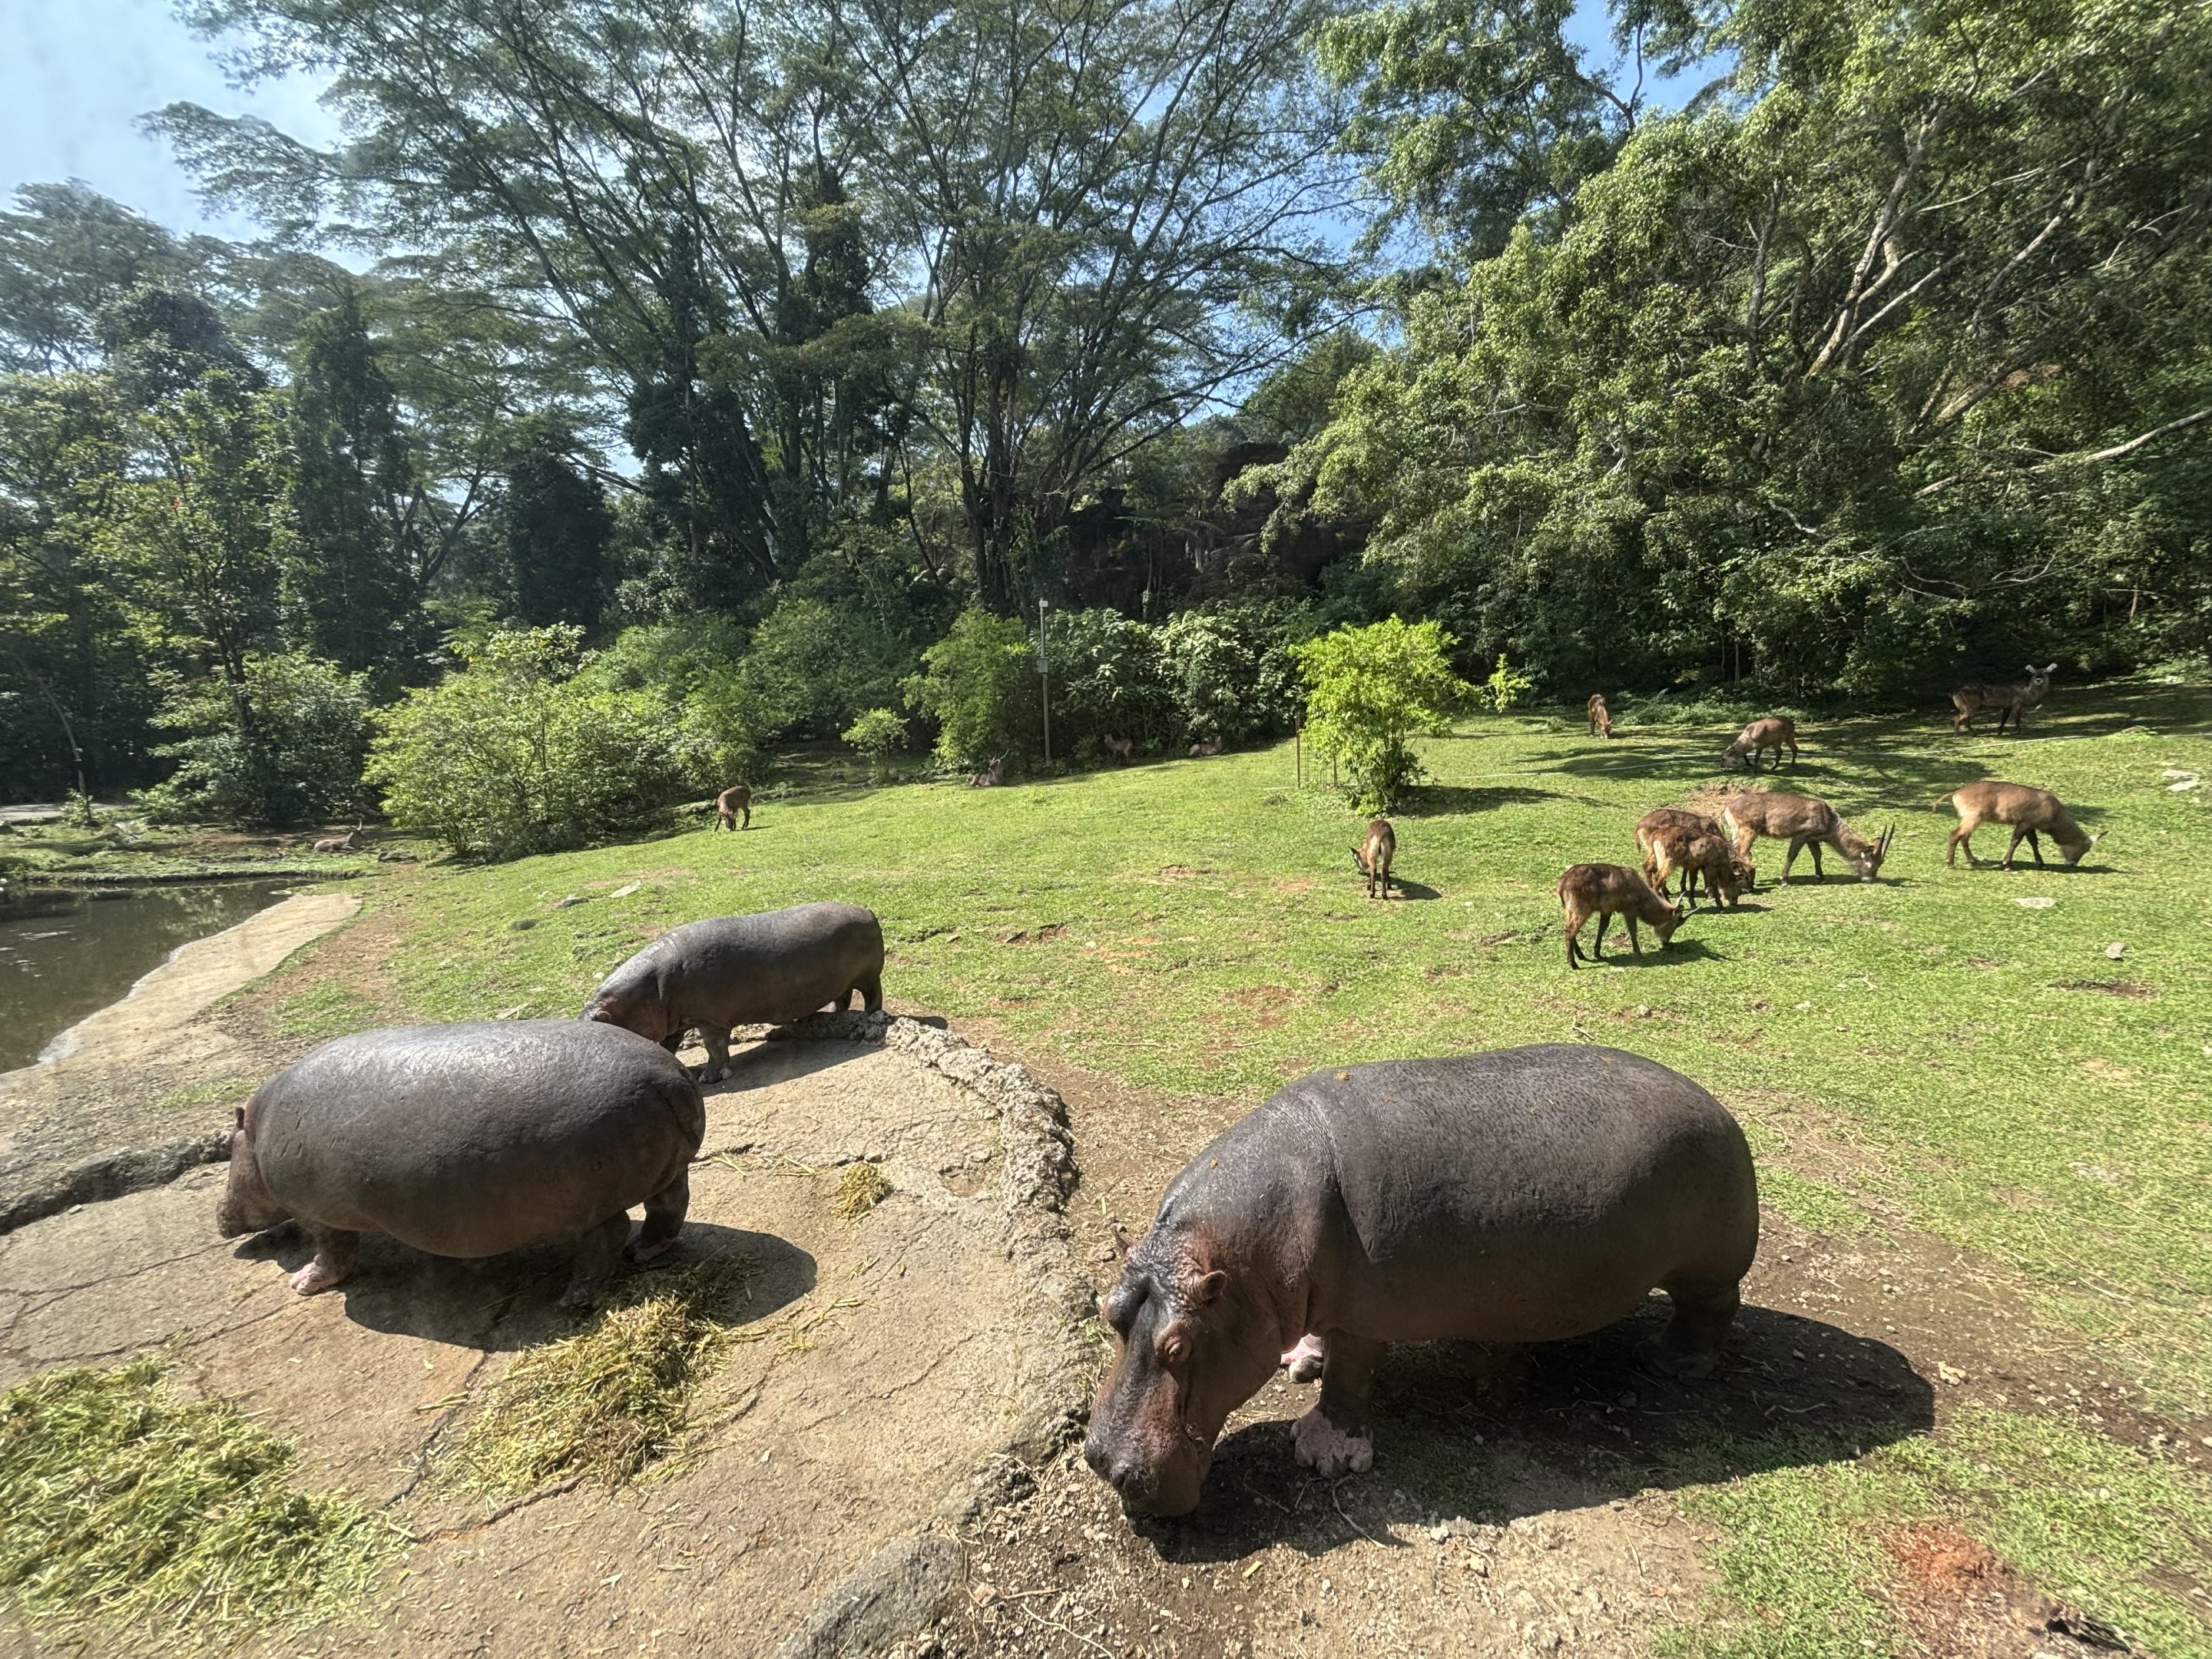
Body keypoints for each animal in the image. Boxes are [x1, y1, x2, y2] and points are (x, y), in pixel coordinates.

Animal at [217, 1020, 705, 1308]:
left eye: (228, 1148)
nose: (219, 1219)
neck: (256, 1134)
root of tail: (670, 1076)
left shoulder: (318, 1214)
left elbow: (332, 1252)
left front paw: (303, 1283)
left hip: (590, 1207)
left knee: (607, 1237)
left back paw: (571, 1299)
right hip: (667, 1171)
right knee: (668, 1207)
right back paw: (644, 1252)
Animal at [580, 902, 885, 1081]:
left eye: (599, 1026)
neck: (653, 986)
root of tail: (868, 912)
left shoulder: (709, 1020)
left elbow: (714, 1048)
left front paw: (708, 1077)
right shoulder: (674, 1021)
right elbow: (668, 1045)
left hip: (869, 977)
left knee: (873, 997)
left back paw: (871, 1017)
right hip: (842, 981)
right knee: (842, 998)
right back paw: (834, 1016)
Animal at [1085, 1045, 1759, 1515]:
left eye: (1179, 1347)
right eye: (1109, 1312)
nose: (1104, 1463)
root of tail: (1722, 1109)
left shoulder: (1364, 1316)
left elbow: (1351, 1379)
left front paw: (1323, 1457)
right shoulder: (1317, 1295)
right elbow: (1325, 1343)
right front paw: (1301, 1360)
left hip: (1712, 1264)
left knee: (1711, 1308)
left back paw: (1670, 1363)